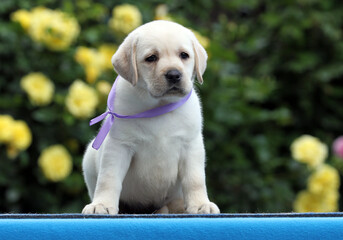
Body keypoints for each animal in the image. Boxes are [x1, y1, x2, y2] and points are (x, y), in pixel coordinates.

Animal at [82, 20, 219, 214]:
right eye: (151, 58)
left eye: (184, 55)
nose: (174, 74)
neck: (158, 106)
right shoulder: (119, 146)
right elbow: (109, 178)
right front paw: (102, 204)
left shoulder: (191, 145)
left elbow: (195, 179)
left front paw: (200, 204)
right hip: (89, 157)